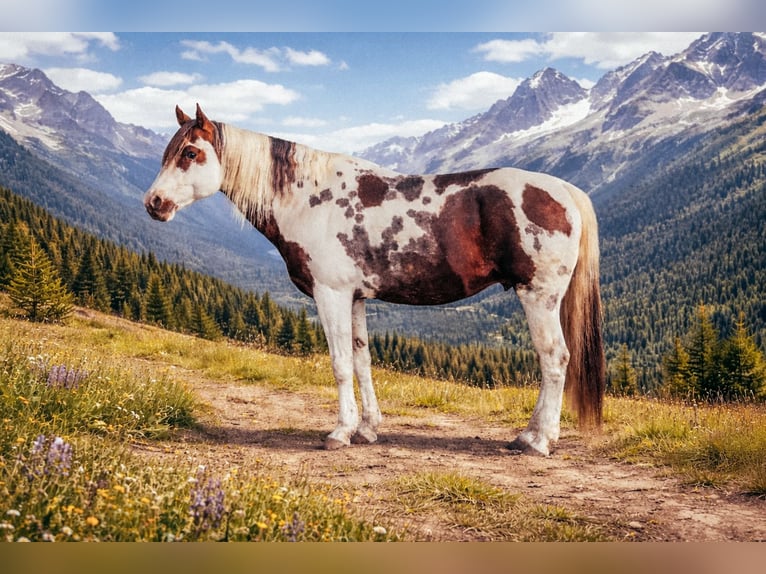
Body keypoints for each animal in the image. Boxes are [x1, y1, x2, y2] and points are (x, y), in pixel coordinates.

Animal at [144, 104, 606, 456]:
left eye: (189, 153)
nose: (154, 203)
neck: (310, 199)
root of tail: (565, 191)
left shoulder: (330, 294)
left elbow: (340, 363)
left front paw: (340, 432)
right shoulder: (355, 298)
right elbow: (362, 361)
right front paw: (367, 428)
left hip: (538, 295)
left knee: (554, 359)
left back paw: (537, 440)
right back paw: (532, 435)